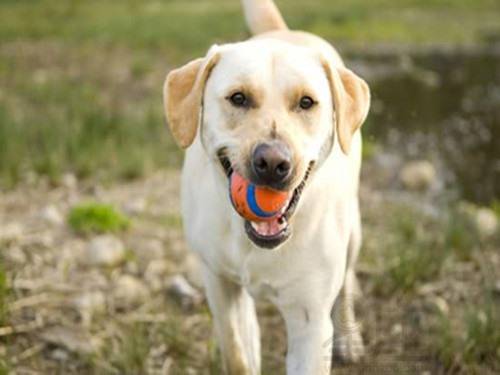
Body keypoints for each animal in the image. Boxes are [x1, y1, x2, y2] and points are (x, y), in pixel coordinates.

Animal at [162, 1, 370, 374]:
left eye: (306, 102)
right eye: (238, 98)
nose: (273, 163)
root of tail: (283, 30)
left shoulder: (310, 321)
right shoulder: (220, 285)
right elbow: (237, 354)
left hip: (353, 232)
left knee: (347, 281)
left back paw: (349, 337)